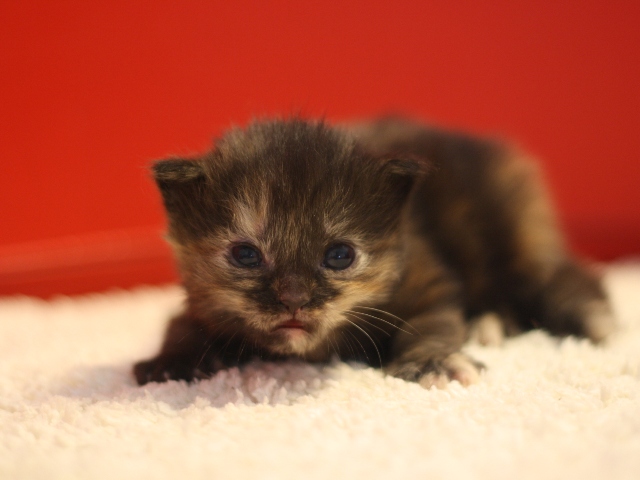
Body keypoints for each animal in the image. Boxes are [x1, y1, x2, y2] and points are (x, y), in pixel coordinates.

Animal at [134, 118, 616, 388]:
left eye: (339, 255)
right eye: (246, 256)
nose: (294, 299)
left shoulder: (425, 278)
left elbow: (432, 322)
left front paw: (433, 363)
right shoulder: (203, 304)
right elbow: (180, 325)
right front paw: (169, 362)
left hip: (518, 228)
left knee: (560, 279)